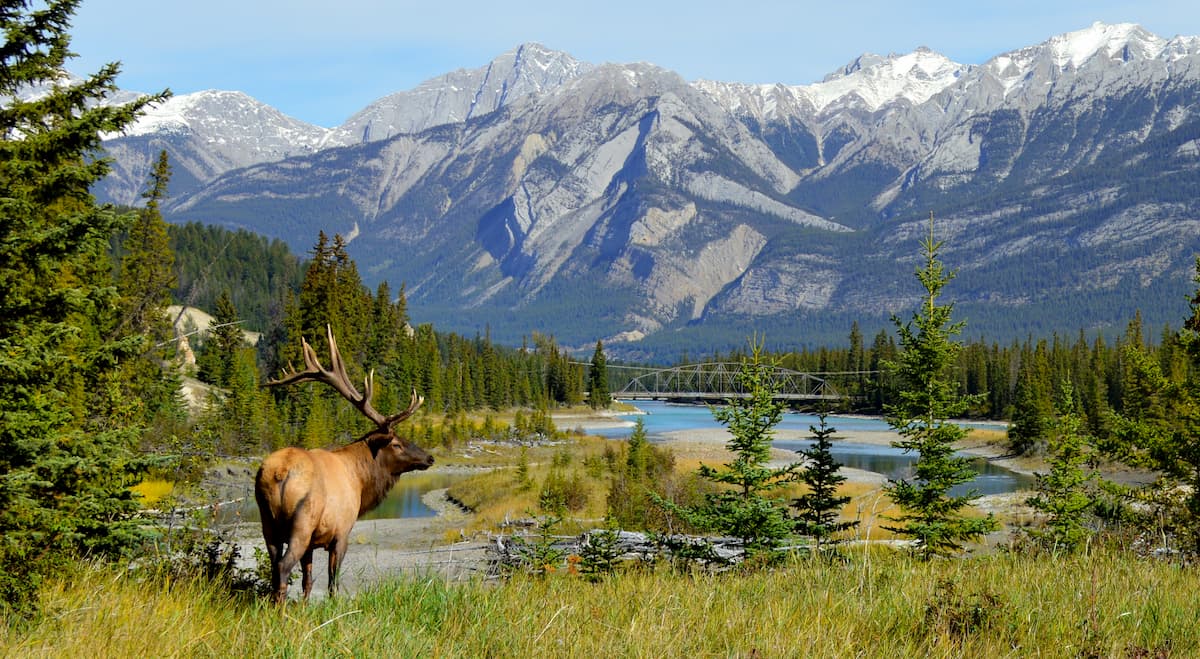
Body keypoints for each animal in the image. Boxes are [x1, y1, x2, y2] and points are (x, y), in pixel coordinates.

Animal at [254, 325, 434, 604]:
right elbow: (332, 582)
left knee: (275, 567)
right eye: (396, 444)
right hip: (301, 521)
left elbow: (307, 581)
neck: (360, 480)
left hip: (267, 523)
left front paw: (305, 607)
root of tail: (279, 473)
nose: (429, 458)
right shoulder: (341, 532)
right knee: (283, 567)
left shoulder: (313, 542)